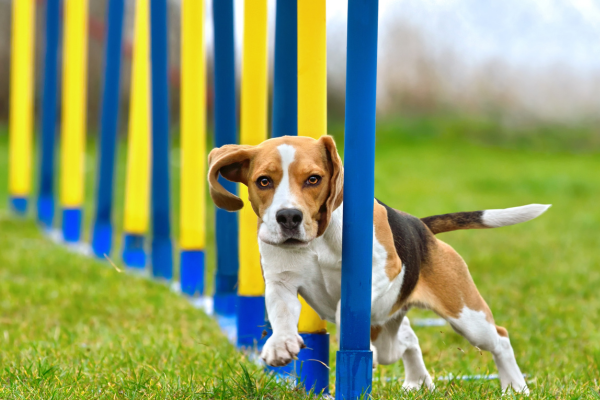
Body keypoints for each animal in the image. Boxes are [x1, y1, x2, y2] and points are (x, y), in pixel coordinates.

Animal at [207, 136, 548, 392]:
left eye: (313, 179)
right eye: (263, 181)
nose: (288, 217)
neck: (317, 240)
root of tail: (421, 226)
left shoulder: (382, 270)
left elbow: (345, 309)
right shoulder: (281, 283)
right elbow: (280, 314)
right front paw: (280, 344)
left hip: (467, 315)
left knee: (500, 338)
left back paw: (515, 387)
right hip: (395, 329)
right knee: (408, 338)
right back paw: (417, 382)